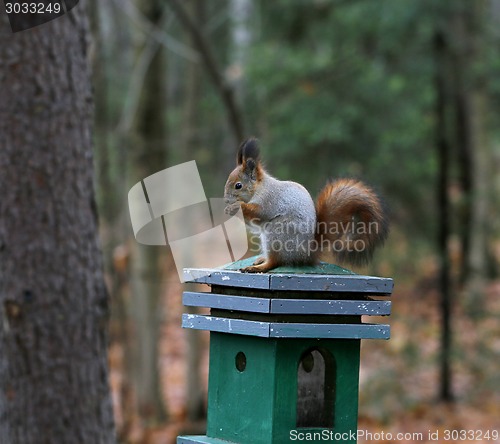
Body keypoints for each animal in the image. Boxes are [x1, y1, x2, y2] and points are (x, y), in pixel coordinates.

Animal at [225, 137, 388, 272]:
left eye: (238, 185)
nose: (226, 200)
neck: (259, 188)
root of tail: (308, 252)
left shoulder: (269, 200)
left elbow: (259, 212)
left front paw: (236, 207)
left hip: (278, 233)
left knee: (276, 261)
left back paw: (260, 267)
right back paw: (261, 259)